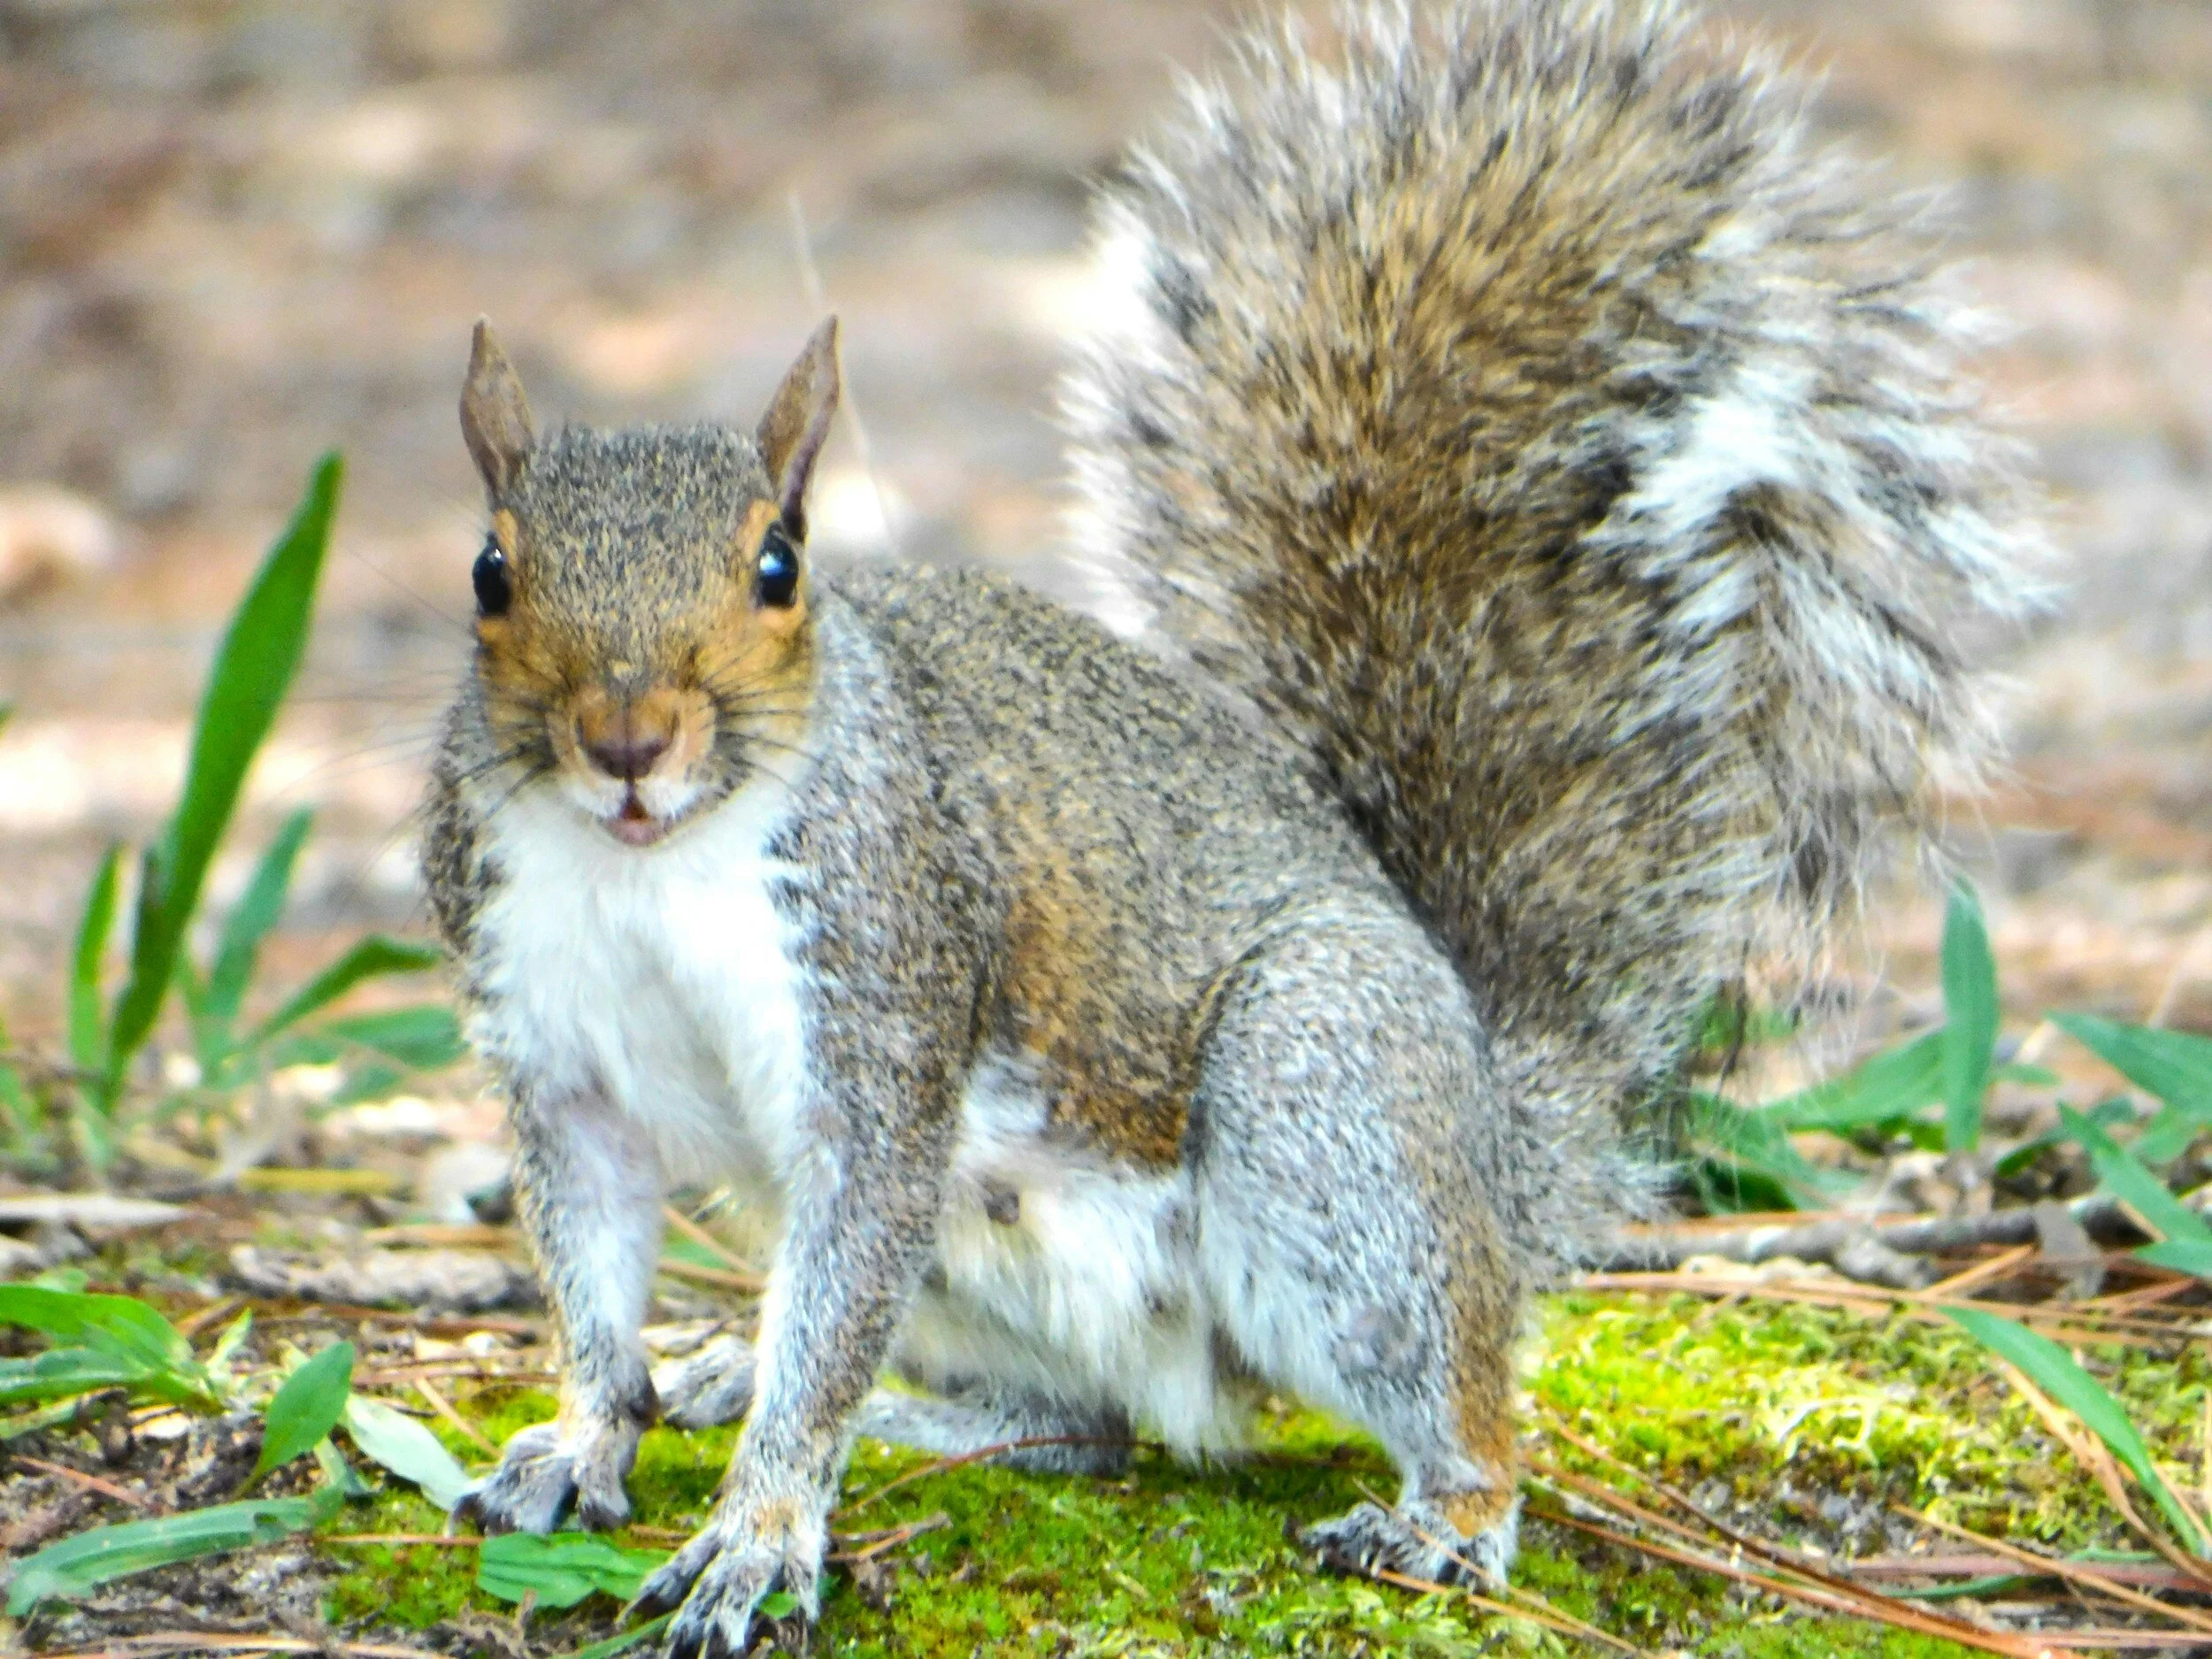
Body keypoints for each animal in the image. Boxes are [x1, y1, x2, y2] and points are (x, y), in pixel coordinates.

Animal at [423, 1, 2041, 1651]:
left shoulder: (886, 992)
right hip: (1003, 1267)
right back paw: (782, 1385)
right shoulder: (560, 1058)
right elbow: (590, 1265)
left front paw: (757, 1530)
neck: (651, 865)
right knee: (1084, 1425)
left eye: (778, 566)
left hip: (1318, 1105)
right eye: (490, 571)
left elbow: (842, 1277)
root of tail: (1491, 1134)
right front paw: (589, 1434)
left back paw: (1444, 1518)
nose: (627, 741)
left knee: (1423, 1381)